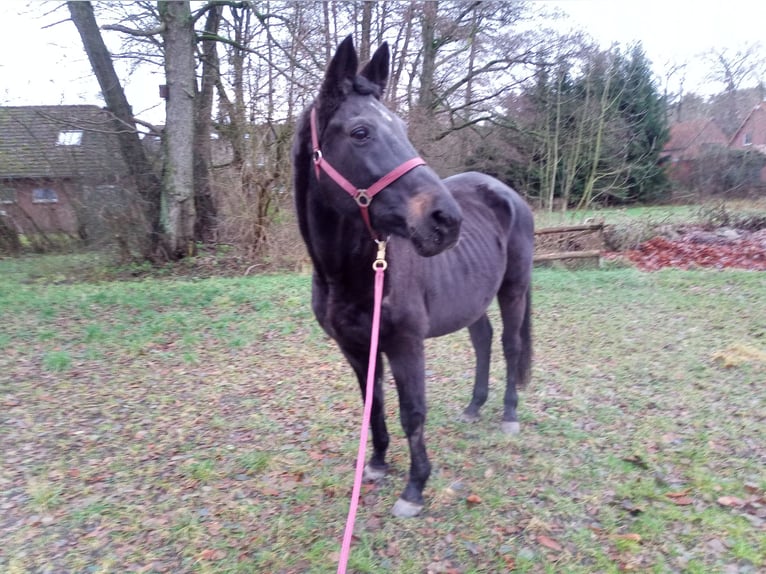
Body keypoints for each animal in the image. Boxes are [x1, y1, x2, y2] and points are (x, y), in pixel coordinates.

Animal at [292, 38, 536, 520]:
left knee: (509, 345)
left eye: (402, 128)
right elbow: (374, 404)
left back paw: (508, 416)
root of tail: (507, 194)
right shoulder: (355, 348)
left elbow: (413, 412)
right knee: (483, 340)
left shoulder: (406, 344)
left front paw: (415, 488)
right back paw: (474, 407)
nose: (447, 221)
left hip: (513, 290)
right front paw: (377, 464)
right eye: (360, 132)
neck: (350, 275)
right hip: (472, 299)